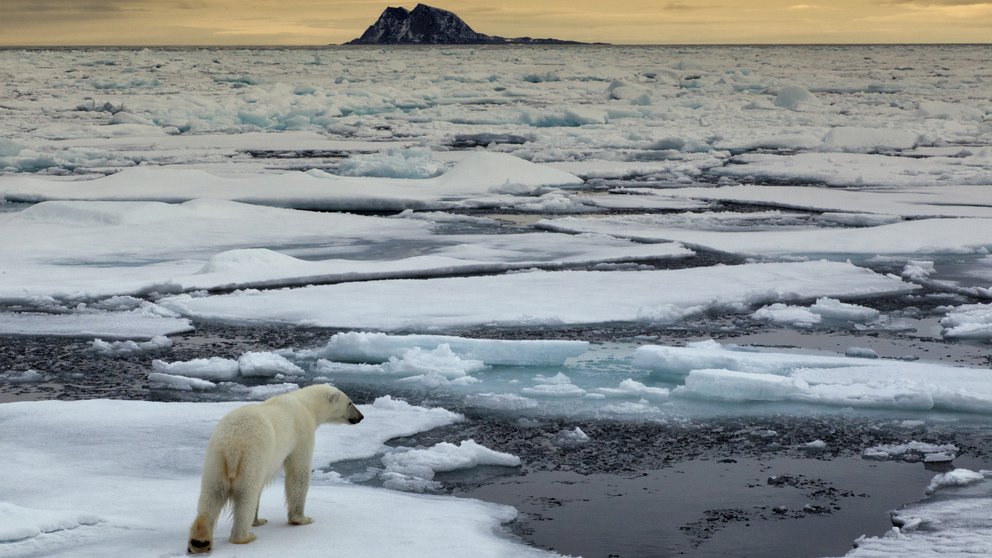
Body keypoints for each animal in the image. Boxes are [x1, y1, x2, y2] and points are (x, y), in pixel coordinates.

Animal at [187, 384, 364, 556]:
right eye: (350, 403)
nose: (361, 416)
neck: (305, 404)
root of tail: (233, 446)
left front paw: (258, 521)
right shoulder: (301, 434)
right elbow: (298, 475)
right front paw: (302, 519)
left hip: (215, 459)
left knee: (211, 495)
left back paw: (200, 541)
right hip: (252, 458)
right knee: (246, 496)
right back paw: (245, 537)